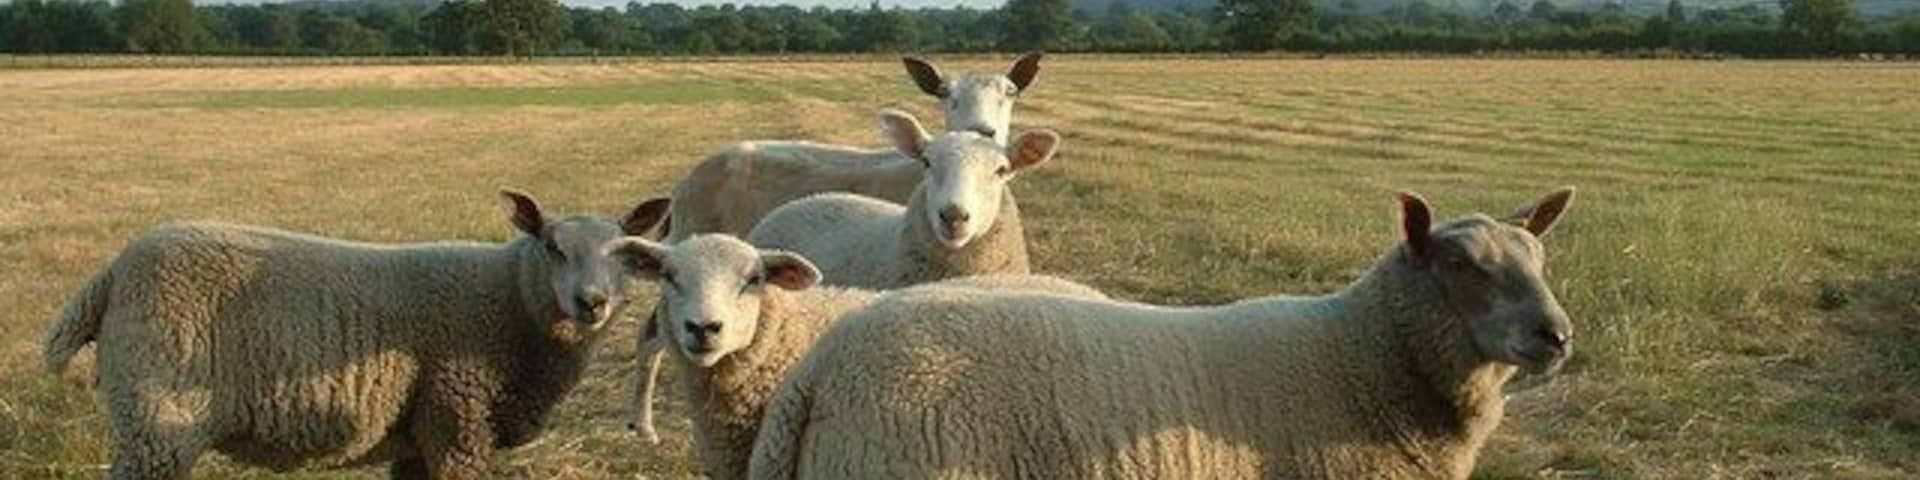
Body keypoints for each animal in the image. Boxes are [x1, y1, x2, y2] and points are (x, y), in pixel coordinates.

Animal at [41, 190, 670, 480]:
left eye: (625, 254)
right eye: (551, 248)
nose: (592, 302)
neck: (510, 302)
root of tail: (114, 272)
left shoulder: (419, 435)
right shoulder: (456, 419)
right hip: (157, 419)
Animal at [629, 53, 1044, 441]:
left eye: (1010, 93)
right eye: (945, 94)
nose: (983, 131)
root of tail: (686, 181)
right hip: (691, 243)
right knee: (651, 334)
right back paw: (643, 424)